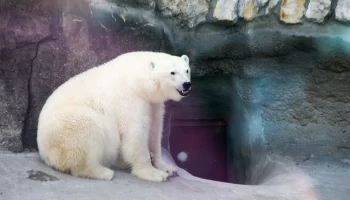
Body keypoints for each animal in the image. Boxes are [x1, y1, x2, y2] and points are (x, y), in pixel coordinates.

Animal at [37, 51, 191, 181]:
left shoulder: (153, 104)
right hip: (62, 127)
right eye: (172, 72)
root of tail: (43, 151)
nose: (186, 84)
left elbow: (155, 130)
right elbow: (135, 133)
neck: (137, 80)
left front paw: (167, 167)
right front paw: (154, 173)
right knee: (86, 129)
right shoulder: (129, 100)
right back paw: (103, 172)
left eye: (187, 70)